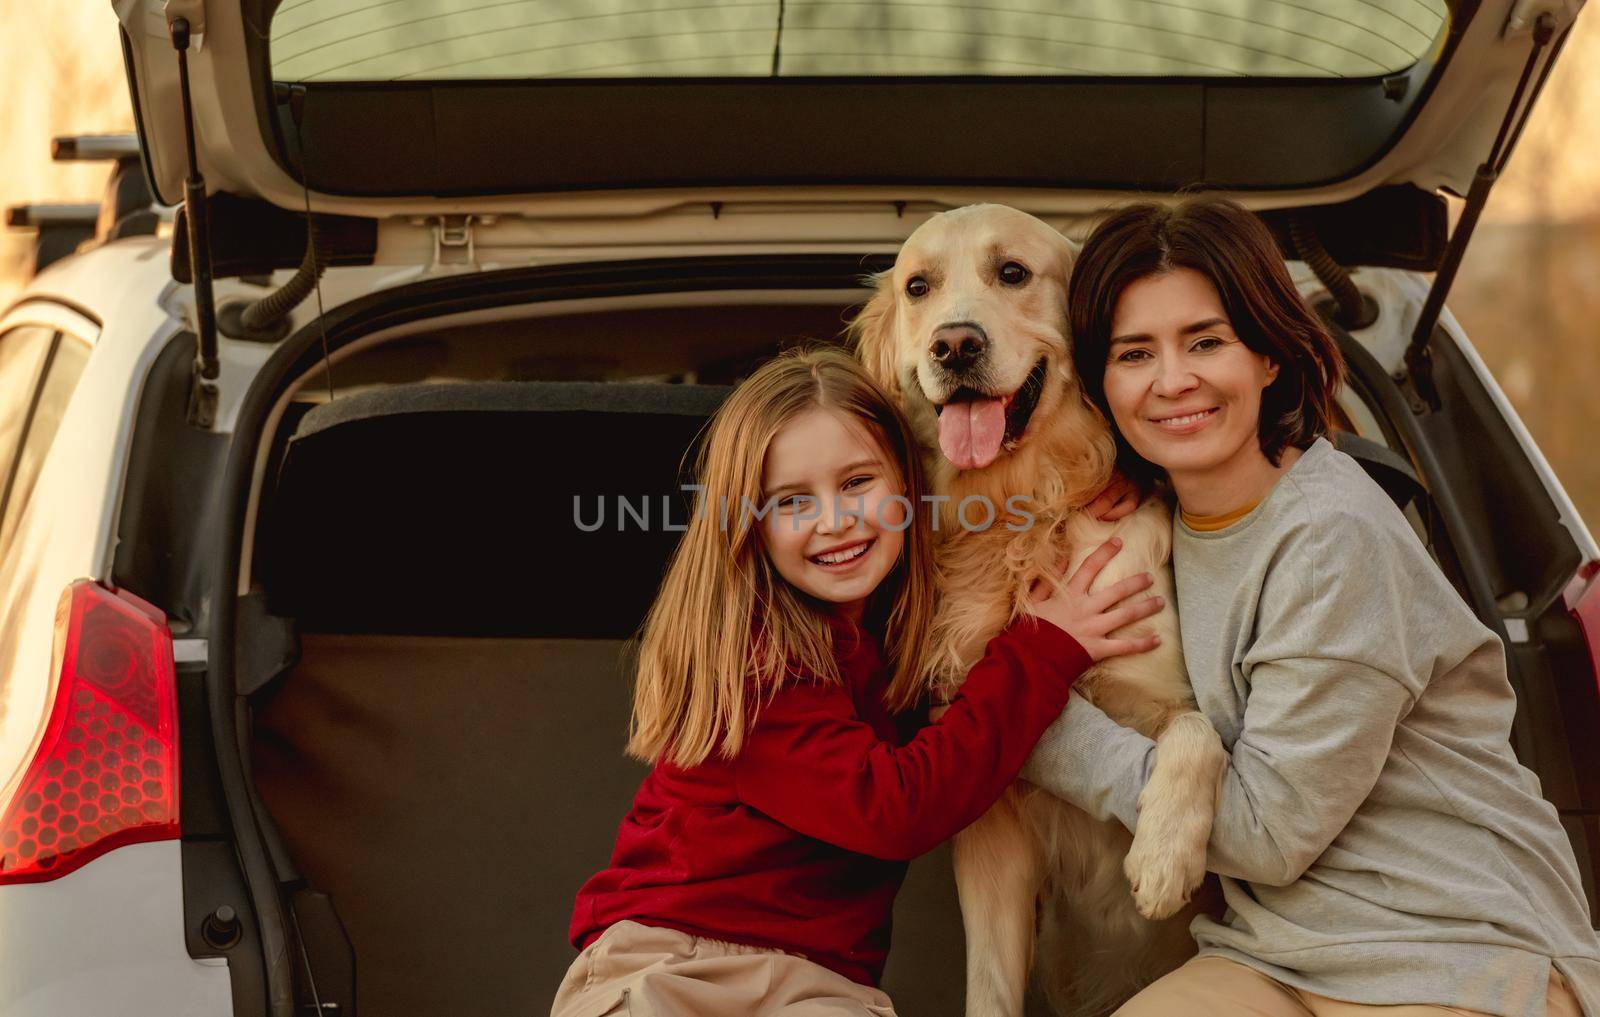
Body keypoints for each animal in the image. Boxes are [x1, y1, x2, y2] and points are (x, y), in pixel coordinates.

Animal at [851, 204, 1222, 1017]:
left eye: (1013, 273)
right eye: (918, 286)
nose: (955, 344)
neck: (1016, 509)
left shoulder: (1157, 689)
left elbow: (1199, 730)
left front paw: (1164, 854)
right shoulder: (991, 821)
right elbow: (990, 983)